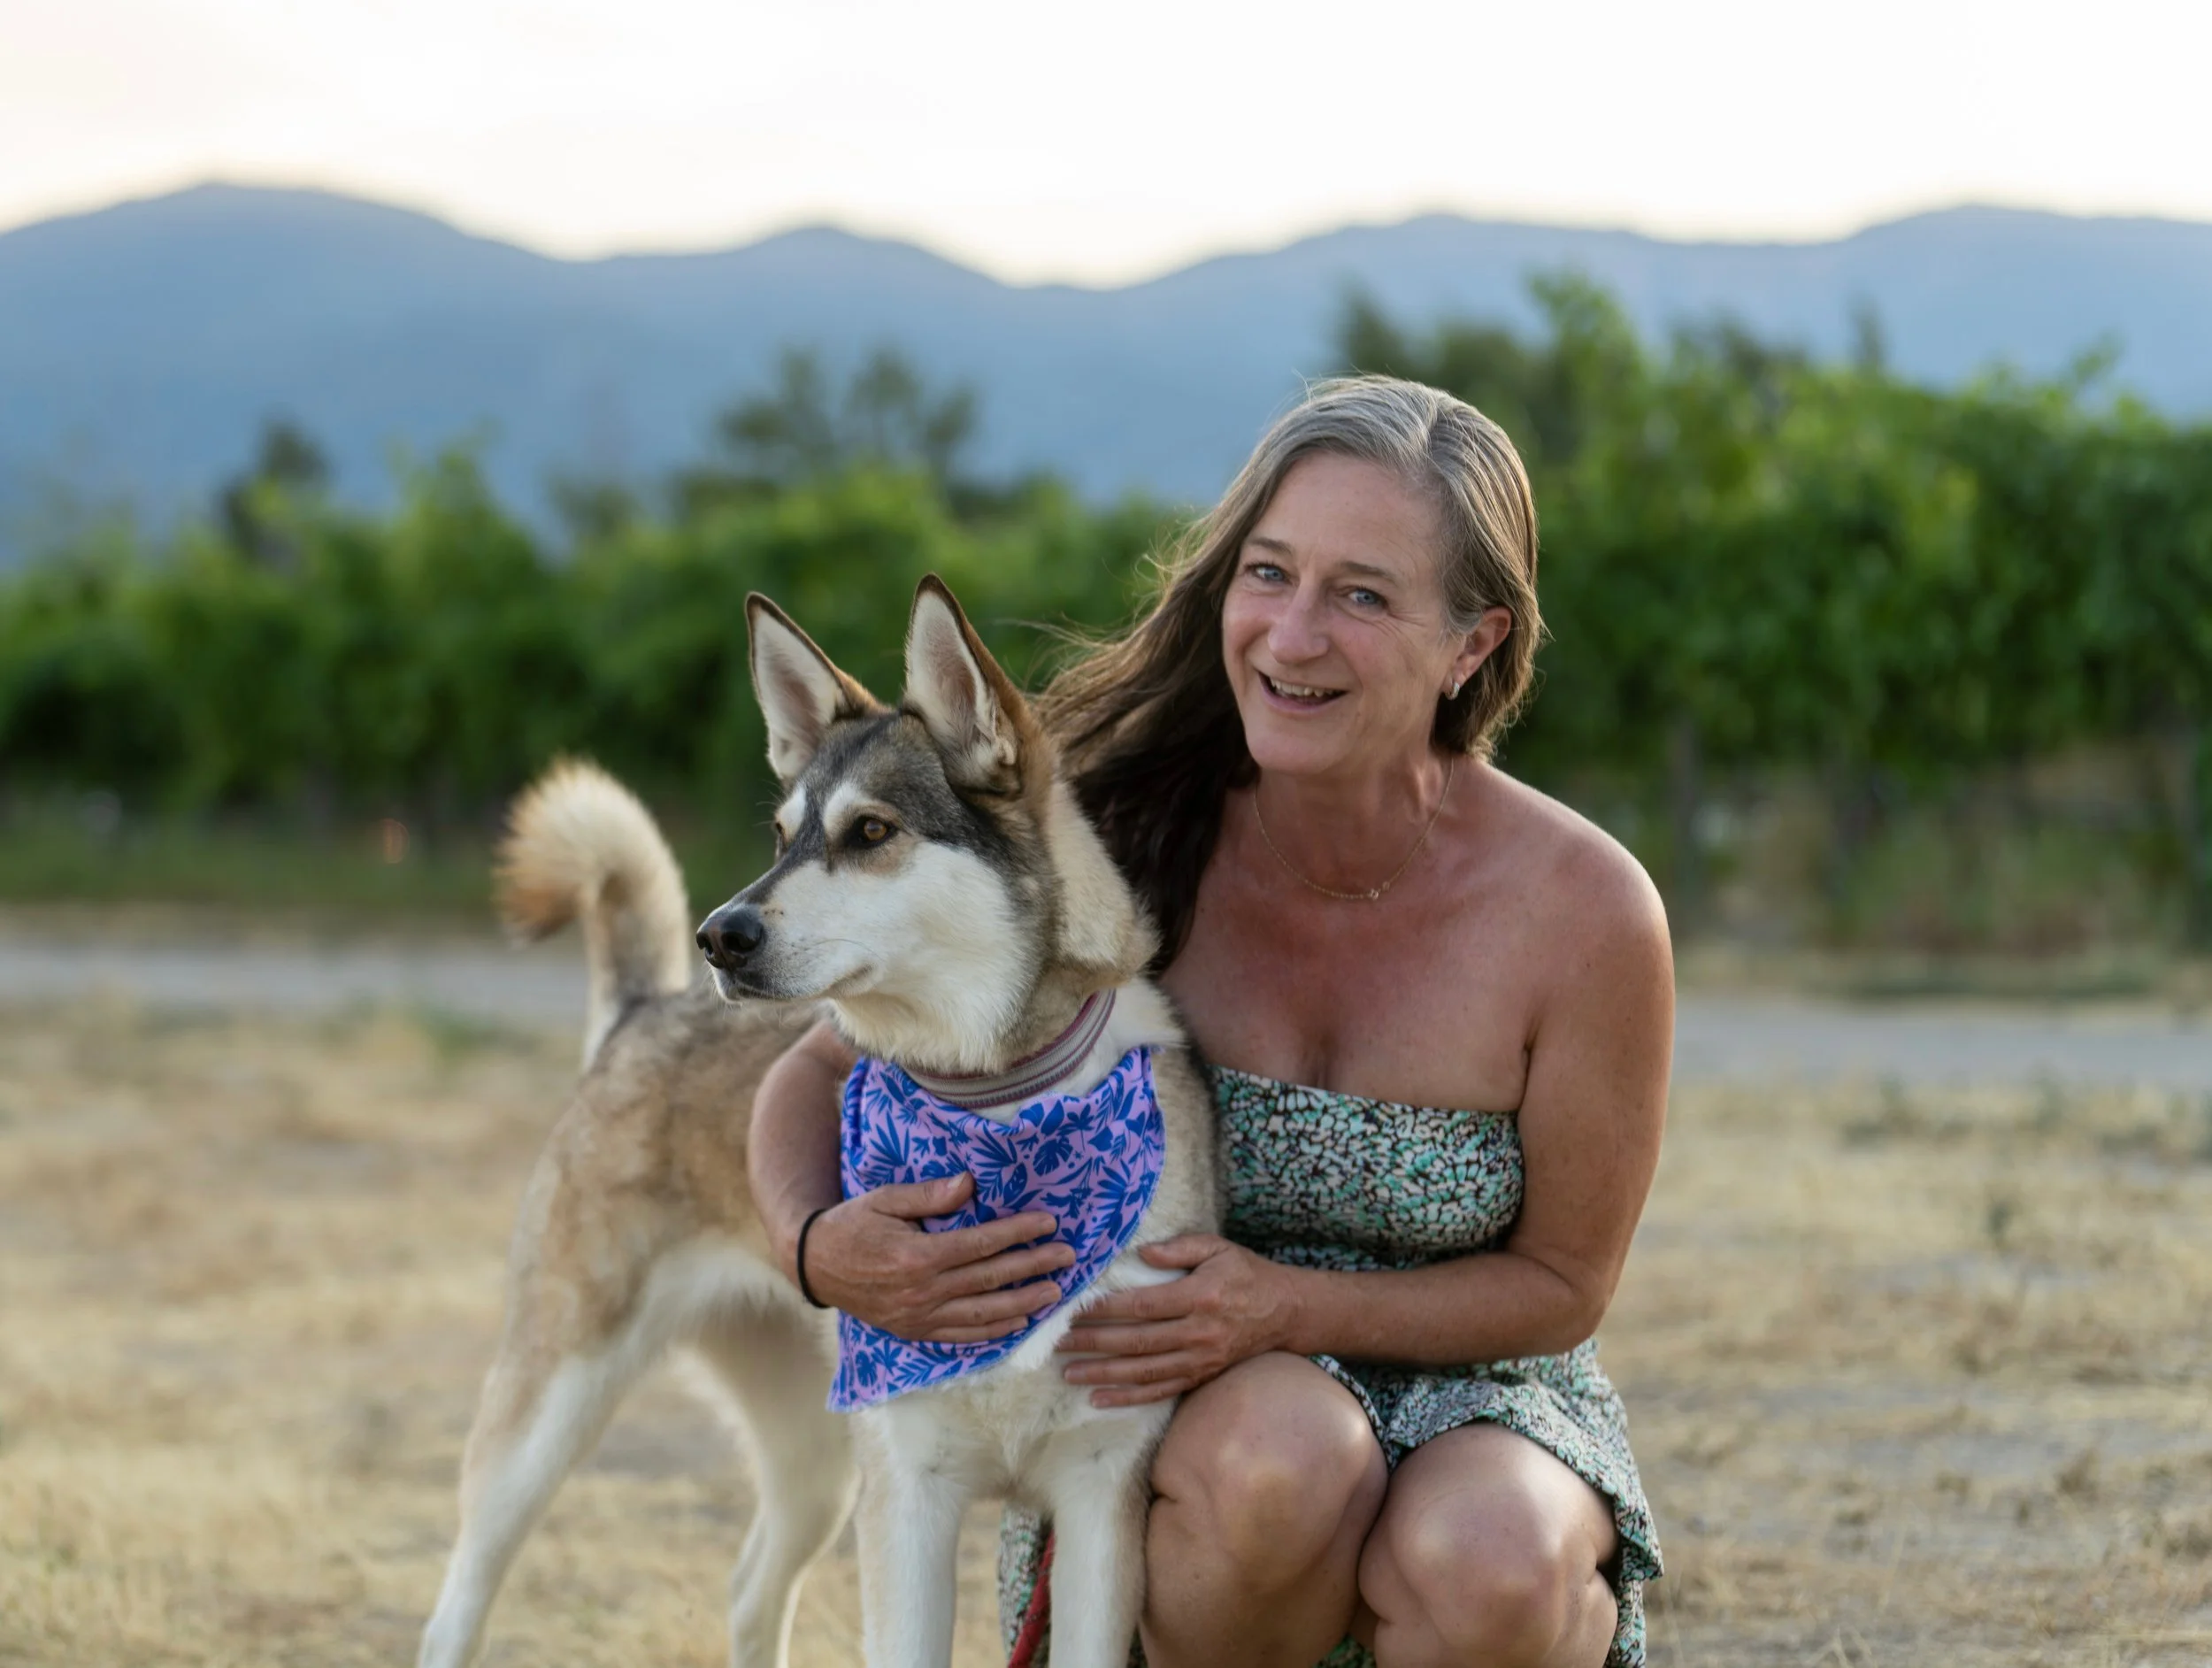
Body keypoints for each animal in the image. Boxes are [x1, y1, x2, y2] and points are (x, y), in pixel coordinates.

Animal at [418, 576, 1220, 1668]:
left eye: (871, 833)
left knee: (751, 1587)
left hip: (816, 1466)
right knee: (460, 1594)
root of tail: (644, 1009)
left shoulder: (1100, 1504)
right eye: (781, 836)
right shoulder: (910, 1494)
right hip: (550, 1417)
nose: (721, 935)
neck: (1000, 1108)